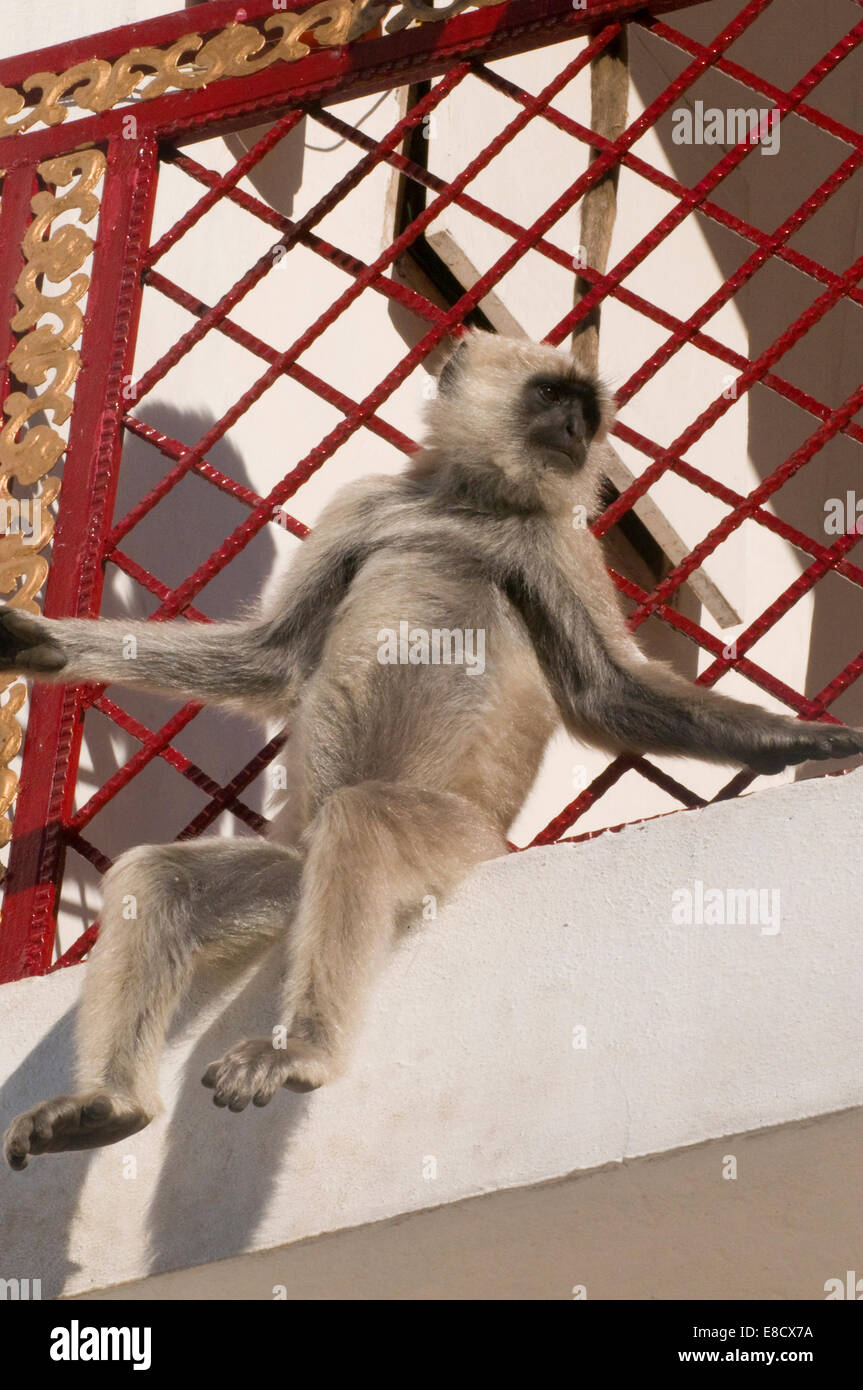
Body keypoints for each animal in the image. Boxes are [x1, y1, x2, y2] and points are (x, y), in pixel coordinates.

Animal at [3, 330, 856, 1167]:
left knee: (362, 820)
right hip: (291, 880)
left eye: (586, 411)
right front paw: (44, 646)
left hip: (459, 839)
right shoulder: (368, 503)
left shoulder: (559, 543)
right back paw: (110, 1105)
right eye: (553, 397)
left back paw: (301, 1051)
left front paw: (797, 737)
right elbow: (271, 658)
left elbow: (606, 694)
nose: (576, 430)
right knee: (164, 878)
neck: (466, 507)